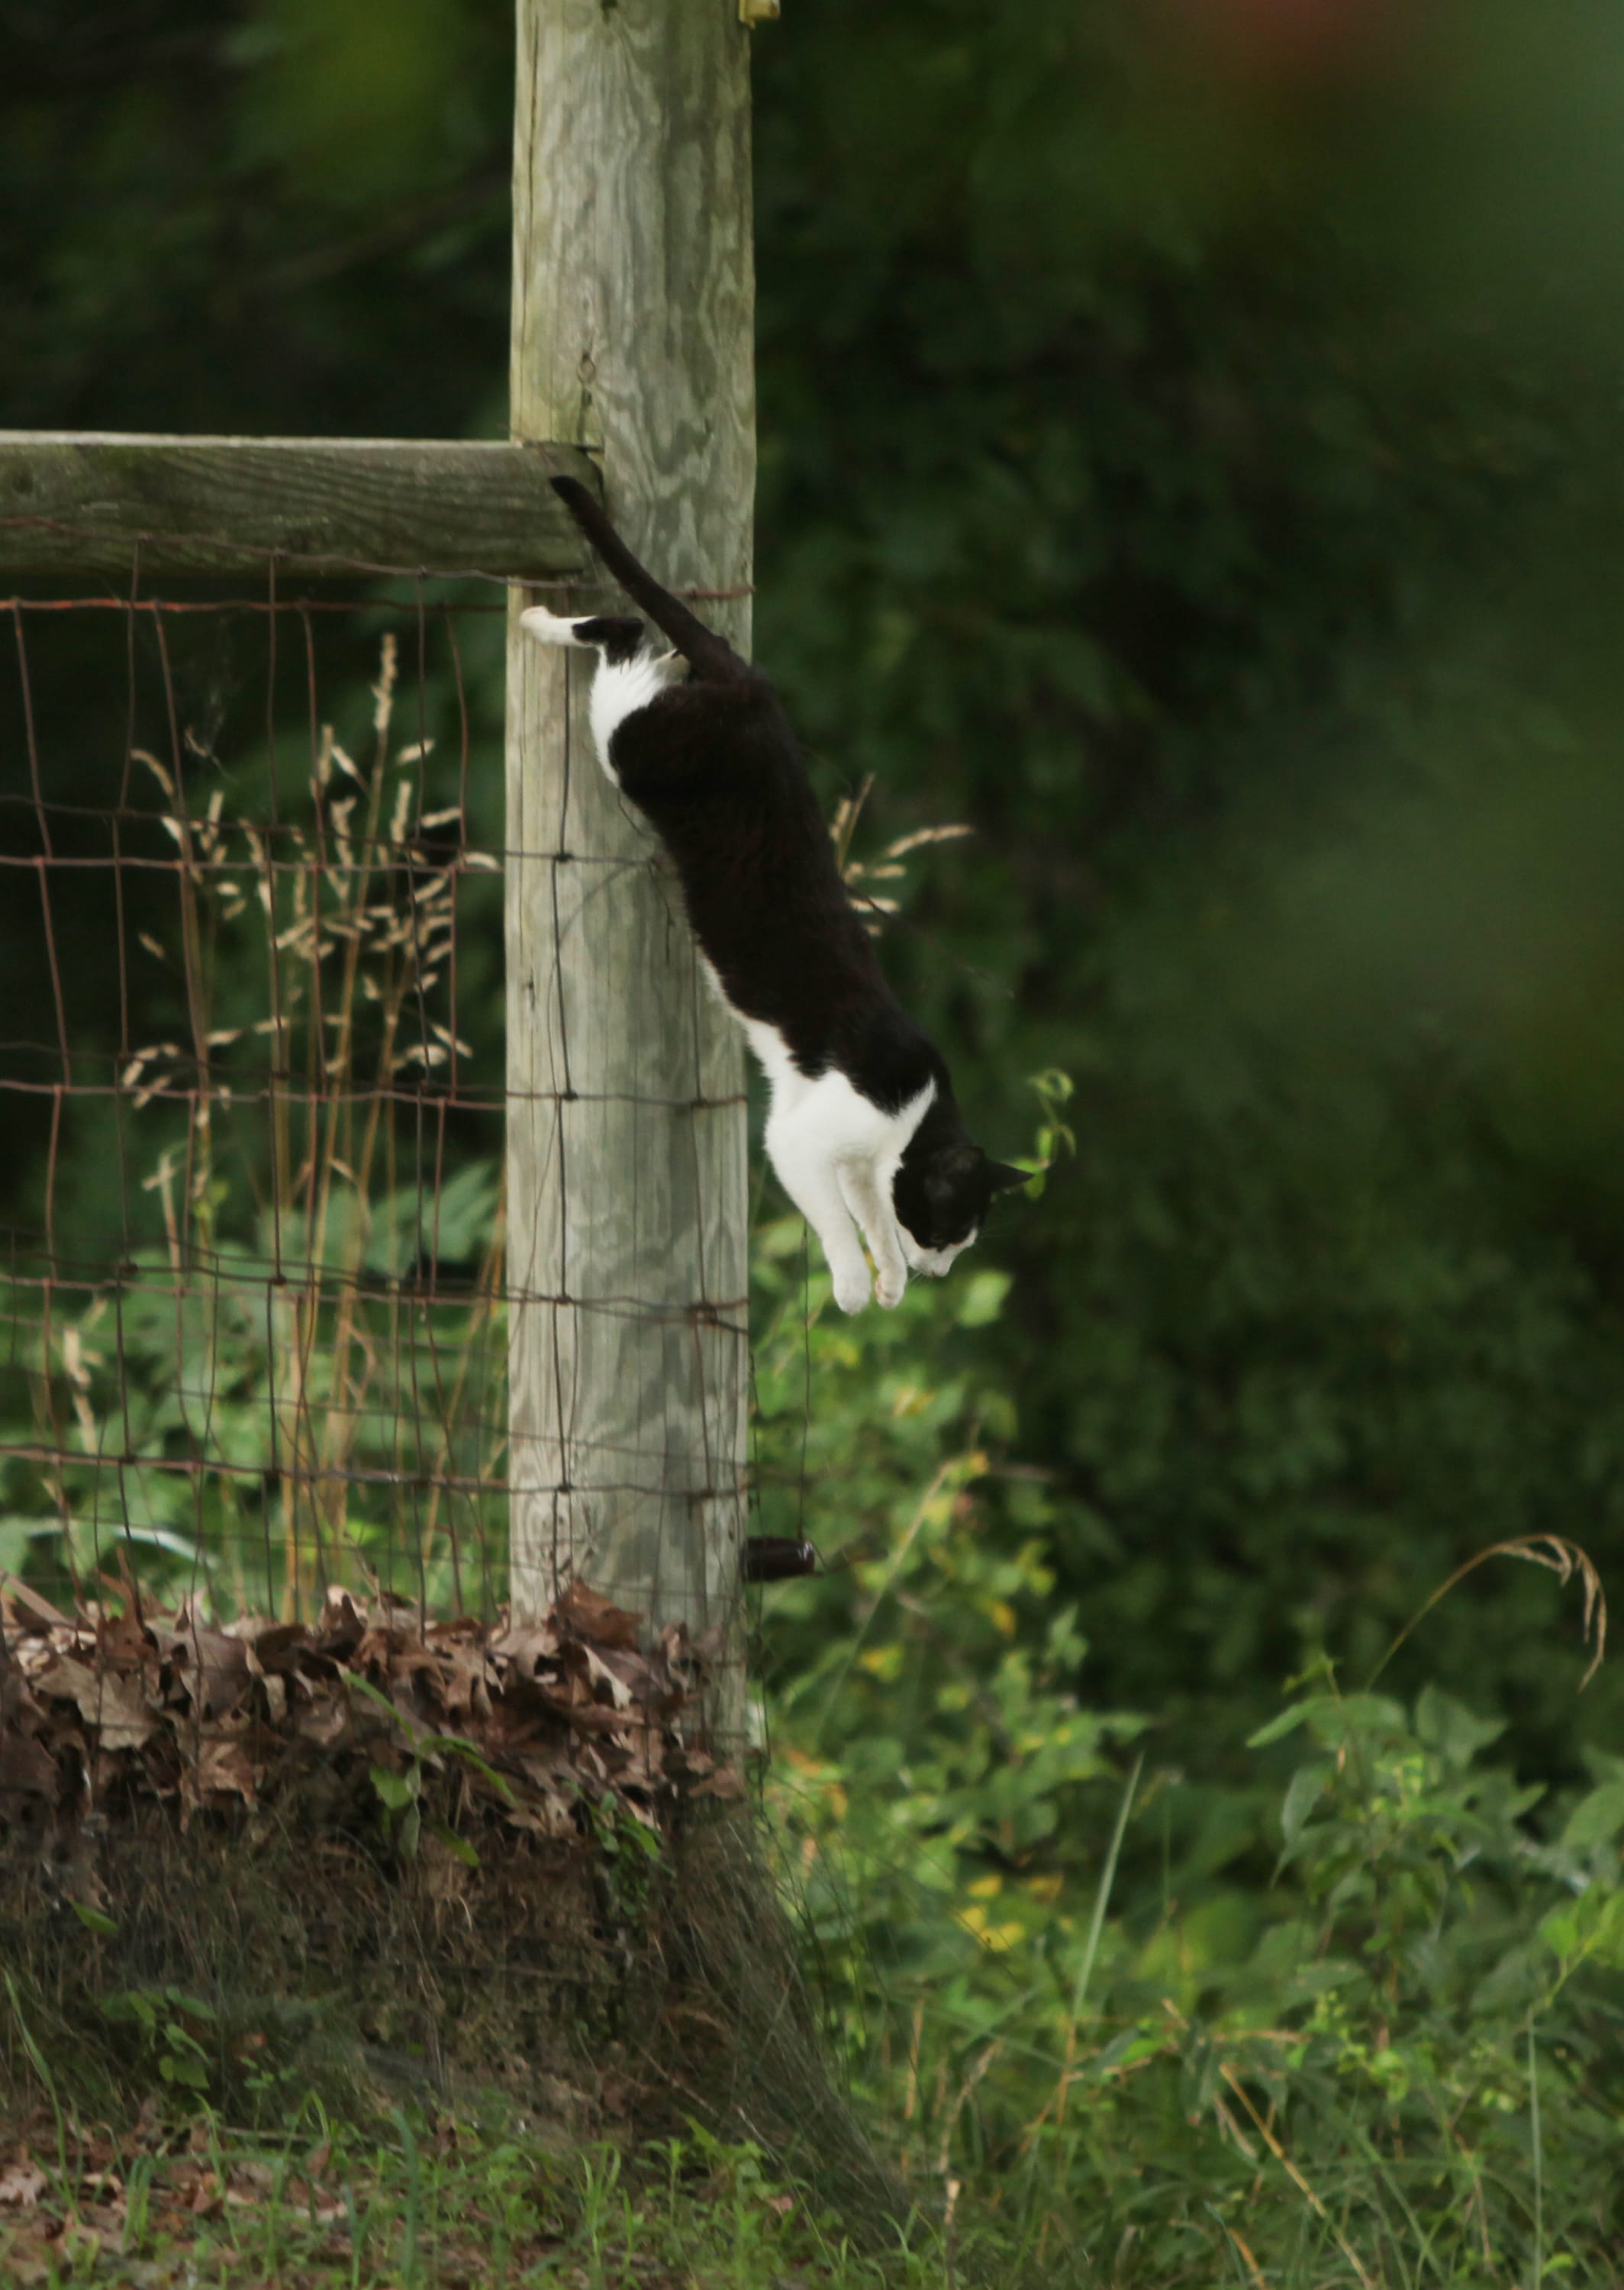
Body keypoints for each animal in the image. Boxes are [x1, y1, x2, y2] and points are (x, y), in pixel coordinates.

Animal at [522, 474, 1026, 1319]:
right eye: (948, 1232)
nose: (938, 1272)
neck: (913, 1117)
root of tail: (750, 684)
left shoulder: (846, 1152)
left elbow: (868, 1211)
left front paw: (887, 1277)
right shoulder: (800, 1141)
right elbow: (833, 1216)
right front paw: (854, 1287)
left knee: (637, 632)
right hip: (632, 745)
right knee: (625, 636)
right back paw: (541, 622)